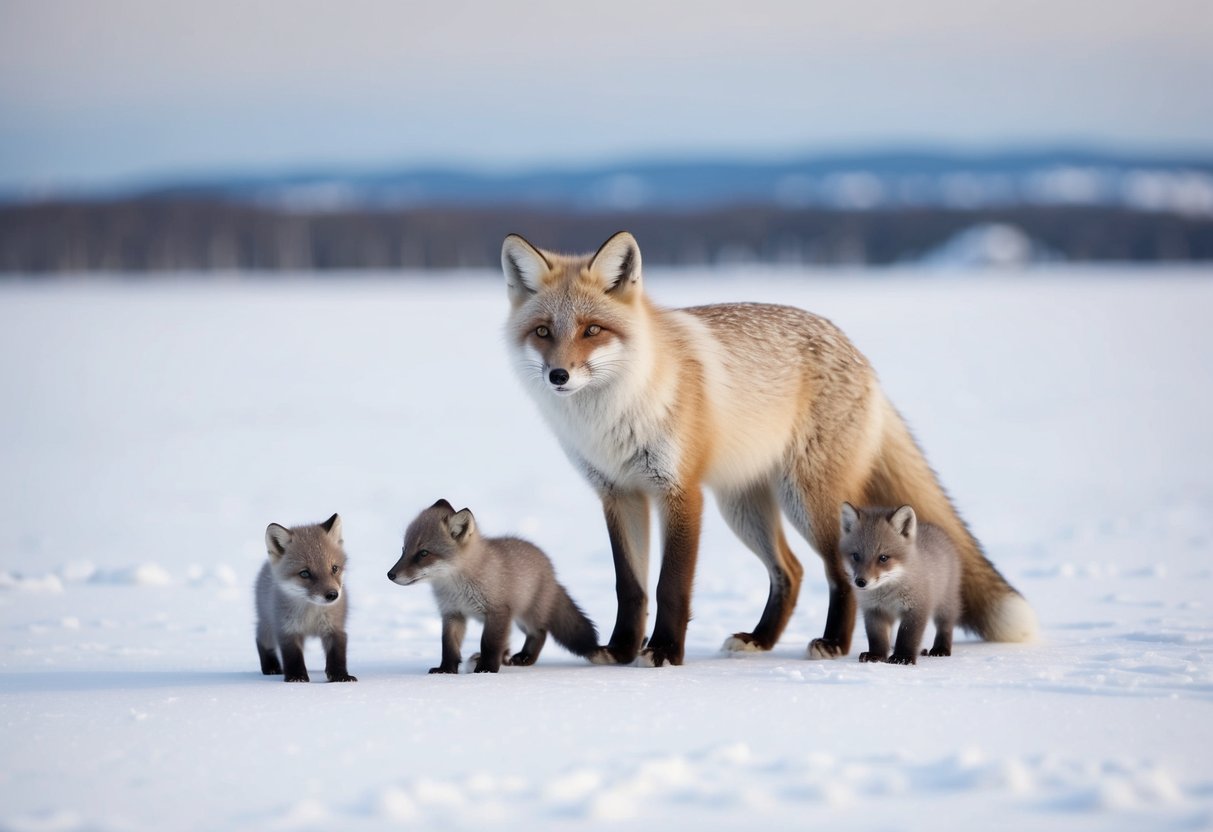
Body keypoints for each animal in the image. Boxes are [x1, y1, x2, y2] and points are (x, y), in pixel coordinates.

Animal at [254, 513, 357, 683]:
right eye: (304, 573)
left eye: (334, 568)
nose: (332, 595)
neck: (311, 613)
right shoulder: (287, 629)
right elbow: (293, 656)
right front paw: (297, 677)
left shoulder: (334, 627)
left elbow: (337, 655)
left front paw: (340, 676)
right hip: (268, 624)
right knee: (261, 639)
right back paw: (271, 667)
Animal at [387, 499, 600, 673]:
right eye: (404, 550)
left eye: (423, 553)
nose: (390, 575)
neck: (457, 587)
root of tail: (551, 571)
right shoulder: (452, 613)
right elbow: (448, 646)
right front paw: (446, 670)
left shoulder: (498, 612)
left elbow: (489, 644)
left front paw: (486, 670)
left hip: (526, 616)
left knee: (540, 633)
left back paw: (526, 658)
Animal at [840, 502, 961, 665]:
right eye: (856, 556)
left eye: (883, 558)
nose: (860, 582)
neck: (887, 596)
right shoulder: (874, 611)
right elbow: (877, 638)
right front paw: (876, 655)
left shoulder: (916, 609)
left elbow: (907, 636)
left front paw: (903, 657)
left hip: (944, 605)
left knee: (945, 626)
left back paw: (940, 649)